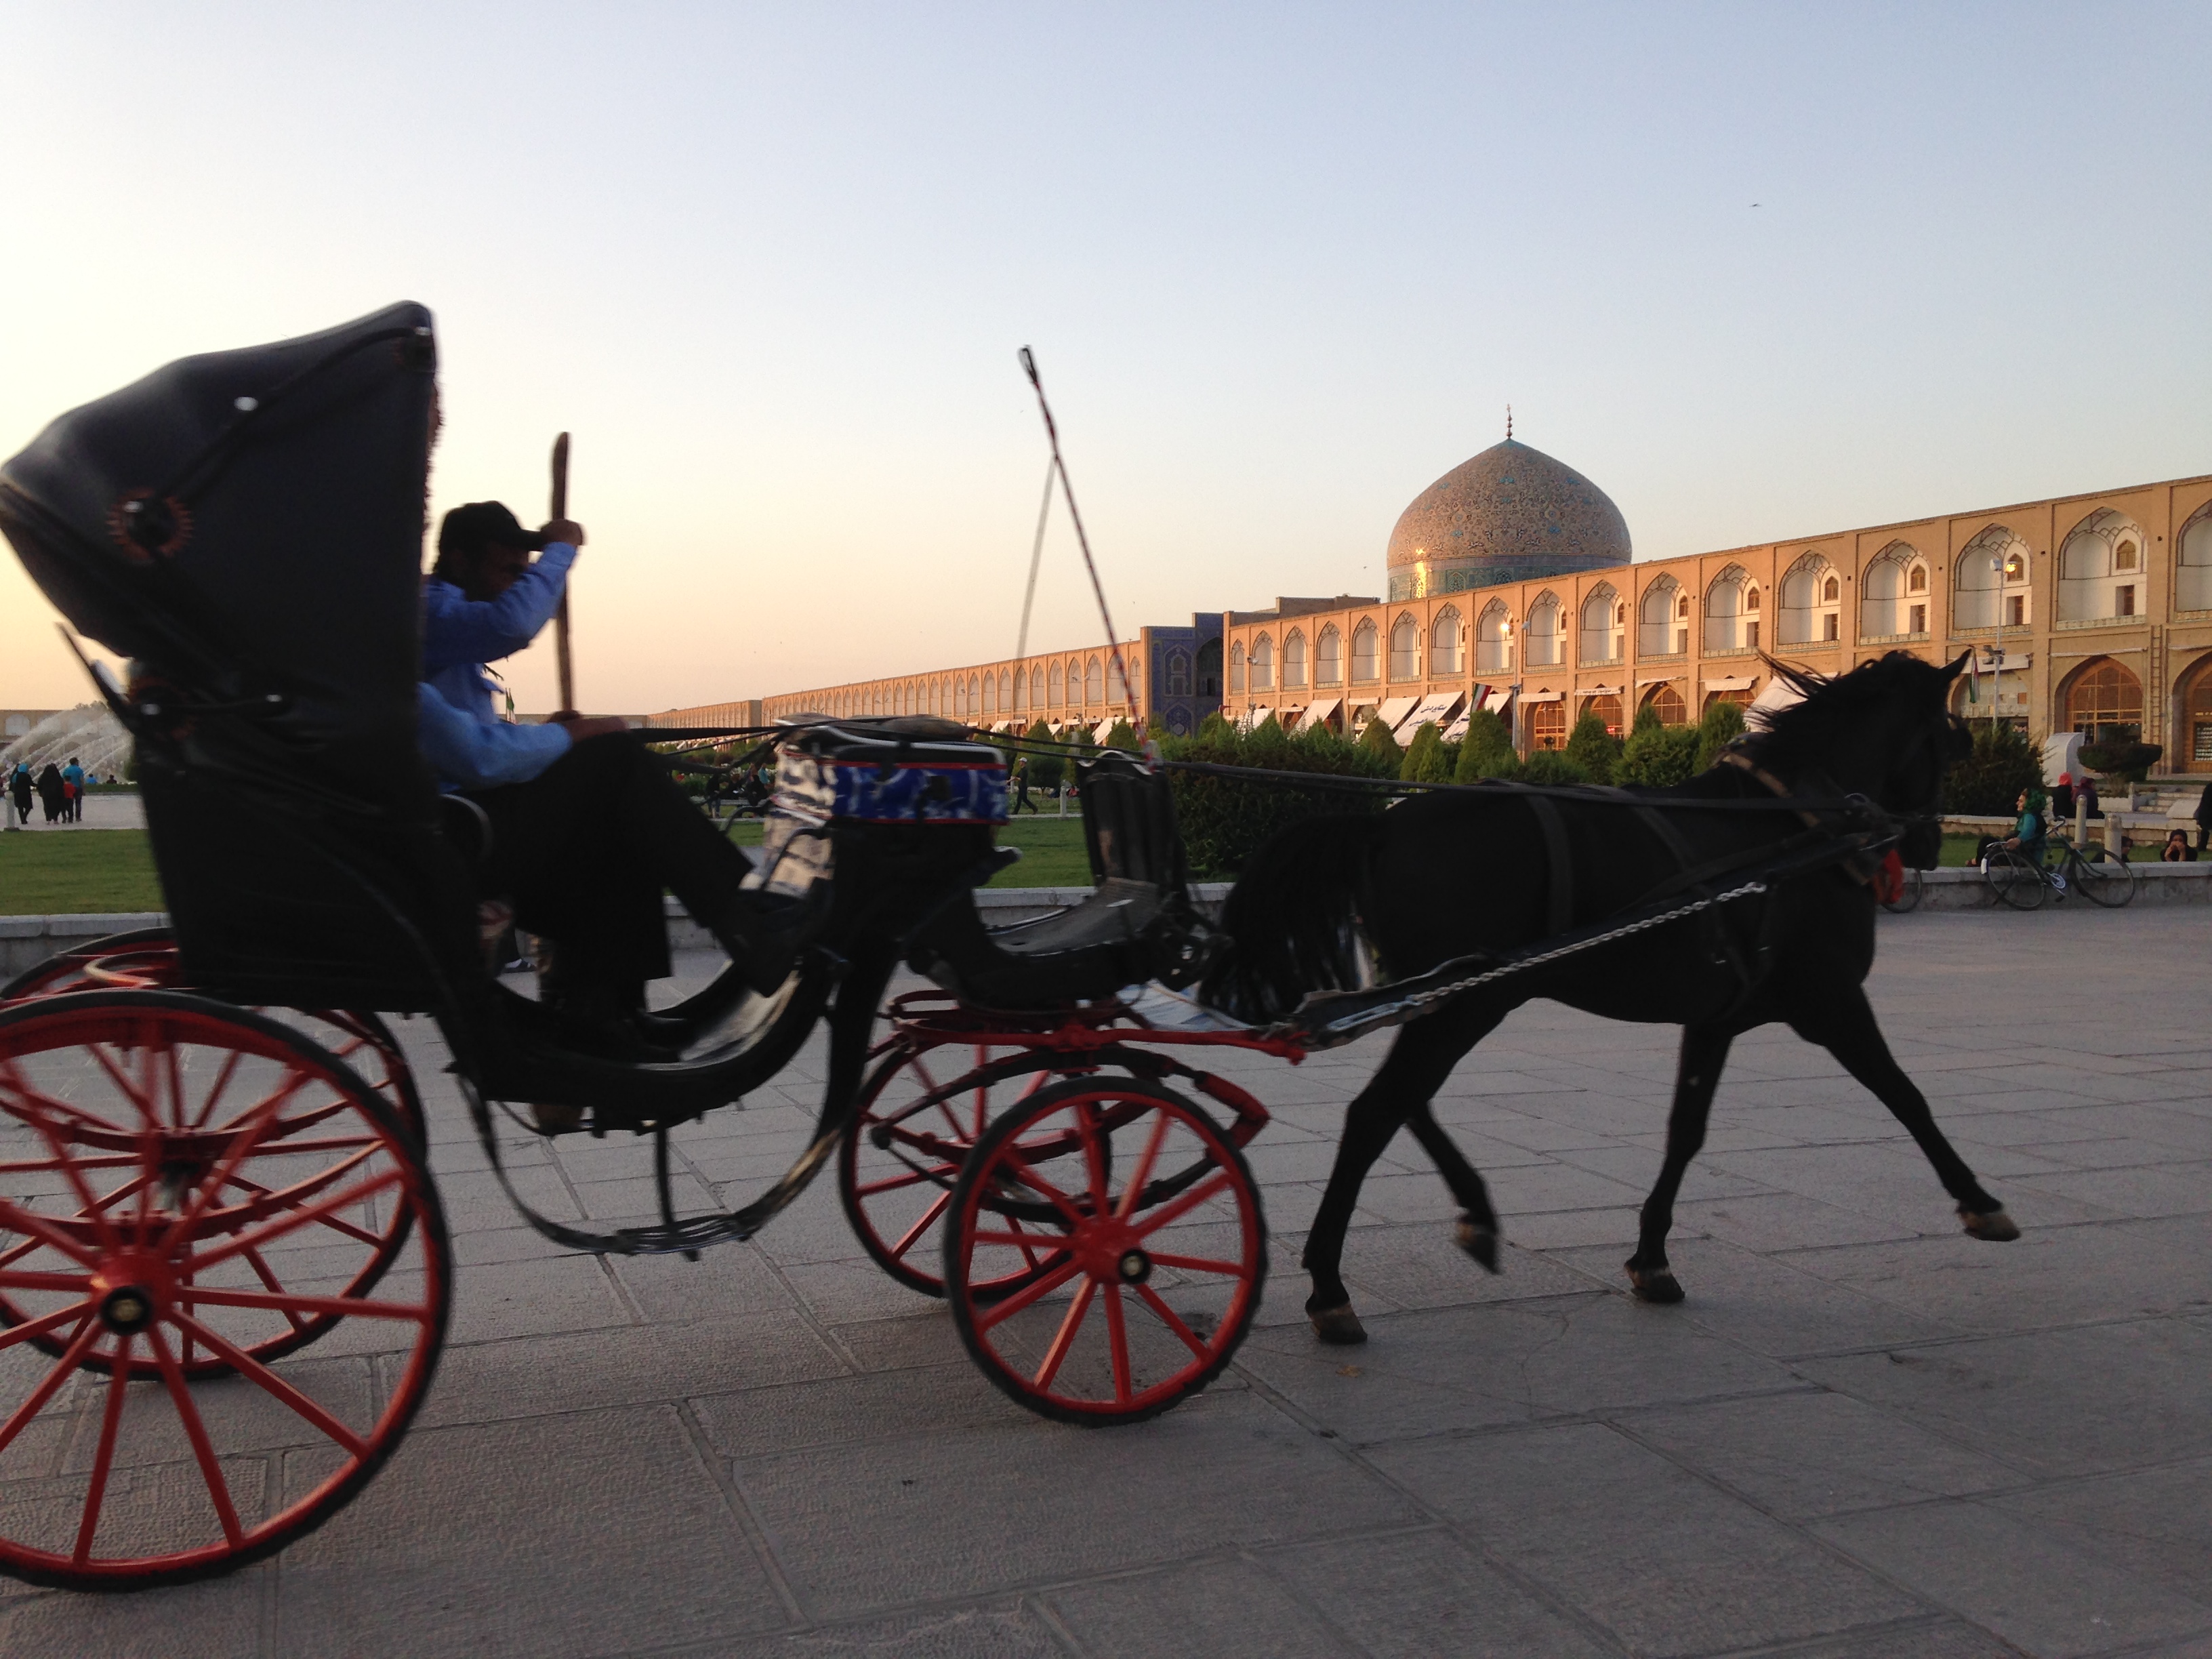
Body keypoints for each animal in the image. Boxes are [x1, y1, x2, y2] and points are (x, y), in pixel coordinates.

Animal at [1198, 650, 2017, 1344]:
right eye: (1952, 740)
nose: (1923, 844)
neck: (1799, 824)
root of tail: (1380, 825)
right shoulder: (1830, 998)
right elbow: (1906, 1094)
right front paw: (1981, 1202)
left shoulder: (1719, 1013)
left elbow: (1686, 1131)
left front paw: (1652, 1256)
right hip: (1469, 997)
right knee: (1378, 1110)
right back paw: (1331, 1288)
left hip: (1451, 991)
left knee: (1404, 1100)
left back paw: (1469, 1216)